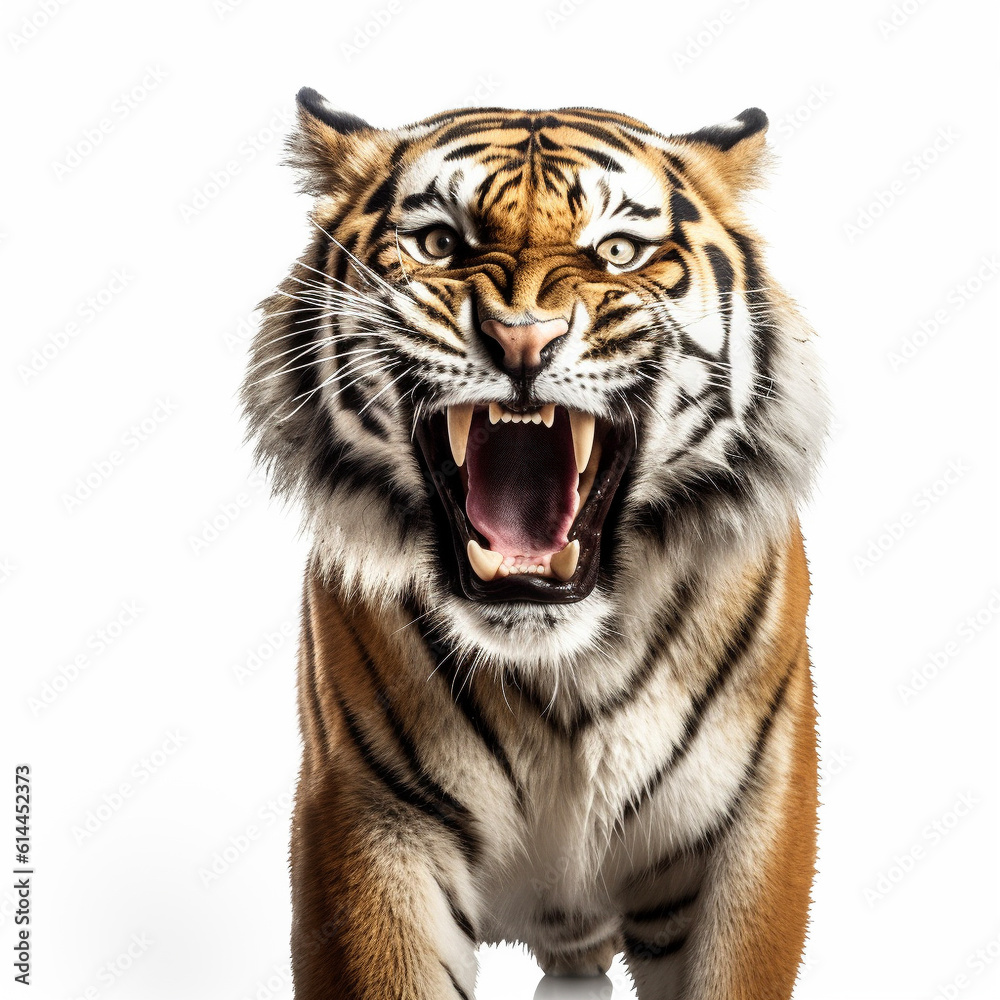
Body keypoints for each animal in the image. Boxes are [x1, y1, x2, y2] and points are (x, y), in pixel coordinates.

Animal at [241, 86, 830, 1000]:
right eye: (439, 243)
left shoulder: (747, 823)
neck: (564, 664)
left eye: (617, 251)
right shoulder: (375, 822)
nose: (522, 337)